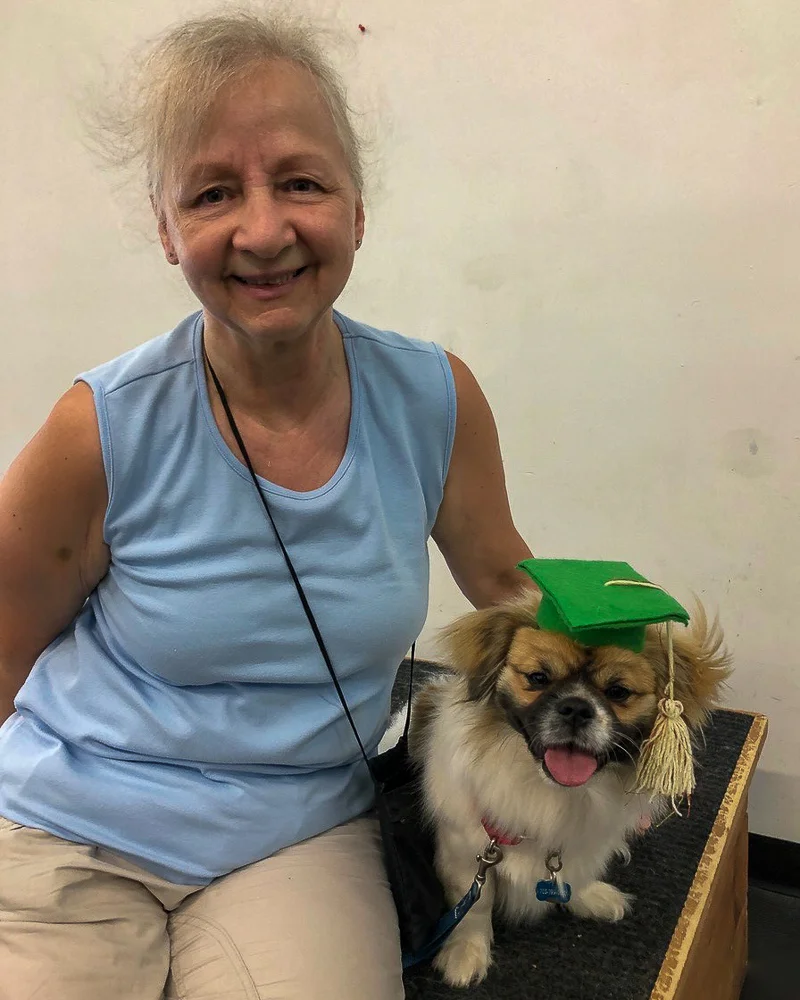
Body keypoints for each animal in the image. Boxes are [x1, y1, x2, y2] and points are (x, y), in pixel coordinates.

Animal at [405, 594, 731, 987]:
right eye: (538, 678)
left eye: (618, 692)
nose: (576, 707)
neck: (555, 793)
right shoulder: (467, 851)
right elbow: (474, 906)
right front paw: (466, 953)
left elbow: (573, 874)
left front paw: (589, 898)